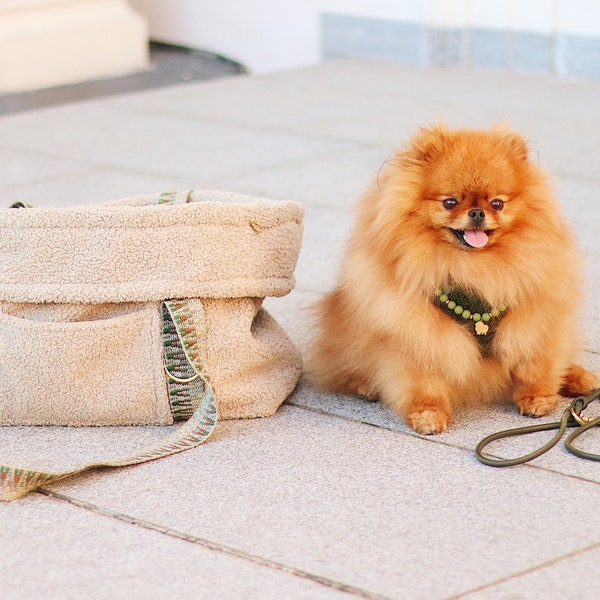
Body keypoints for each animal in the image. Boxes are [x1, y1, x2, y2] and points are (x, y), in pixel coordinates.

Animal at [312, 123, 596, 432]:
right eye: (450, 202)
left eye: (497, 204)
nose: (477, 212)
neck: (472, 266)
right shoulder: (417, 328)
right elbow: (423, 378)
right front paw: (428, 414)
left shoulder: (532, 316)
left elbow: (535, 362)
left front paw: (538, 398)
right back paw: (366, 386)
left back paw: (579, 378)